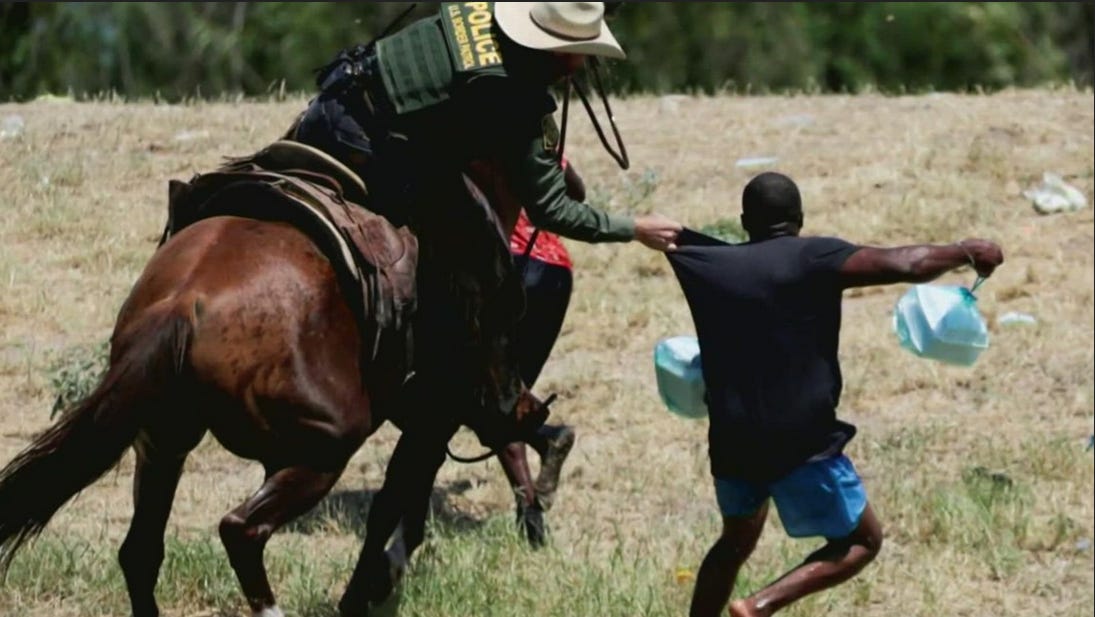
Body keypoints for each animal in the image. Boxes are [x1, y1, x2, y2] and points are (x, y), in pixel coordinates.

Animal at [0, 143, 547, 617]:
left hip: (164, 442)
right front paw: (367, 591)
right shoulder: (435, 415)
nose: (523, 408)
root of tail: (183, 304)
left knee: (141, 552)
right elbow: (393, 504)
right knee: (241, 529)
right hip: (321, 452)